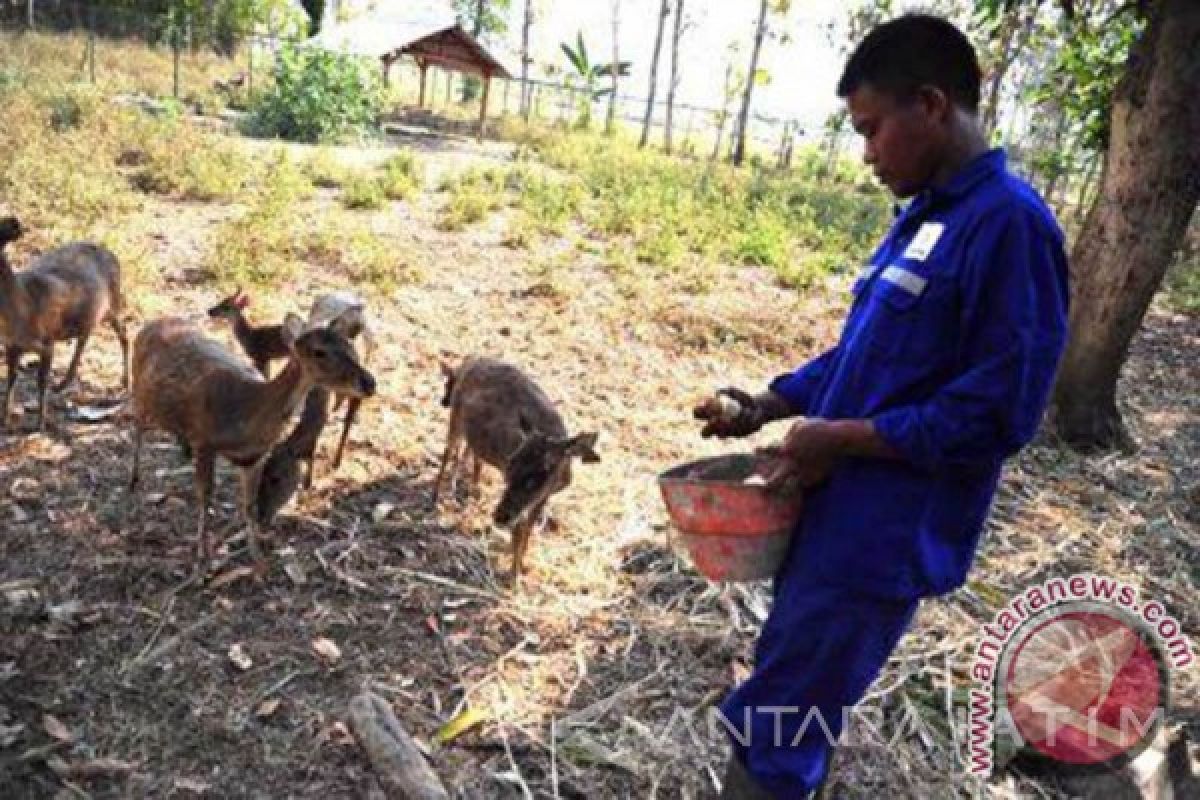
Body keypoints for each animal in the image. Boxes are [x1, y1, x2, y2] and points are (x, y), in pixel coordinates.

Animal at [0, 214, 130, 431]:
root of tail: (112, 254)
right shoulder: (10, 345)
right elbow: (11, 380)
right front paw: (5, 421)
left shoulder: (47, 340)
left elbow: (41, 381)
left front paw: (40, 424)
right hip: (96, 311)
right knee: (86, 334)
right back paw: (64, 382)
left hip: (113, 301)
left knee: (123, 332)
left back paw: (125, 381)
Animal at [127, 311, 374, 568]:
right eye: (319, 351)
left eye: (350, 345)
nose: (369, 383)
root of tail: (150, 324)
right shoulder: (203, 440)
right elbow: (205, 496)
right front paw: (202, 555)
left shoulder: (254, 456)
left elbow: (249, 505)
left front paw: (257, 559)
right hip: (139, 393)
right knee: (137, 428)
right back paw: (134, 479)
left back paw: (181, 450)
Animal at [432, 357, 600, 587]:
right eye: (510, 465)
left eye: (545, 471)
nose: (500, 516)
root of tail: (471, 362)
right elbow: (519, 532)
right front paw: (513, 578)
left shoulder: (542, 497)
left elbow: (527, 530)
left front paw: (521, 567)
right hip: (455, 418)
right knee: (449, 450)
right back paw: (435, 497)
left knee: (470, 454)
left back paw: (469, 494)